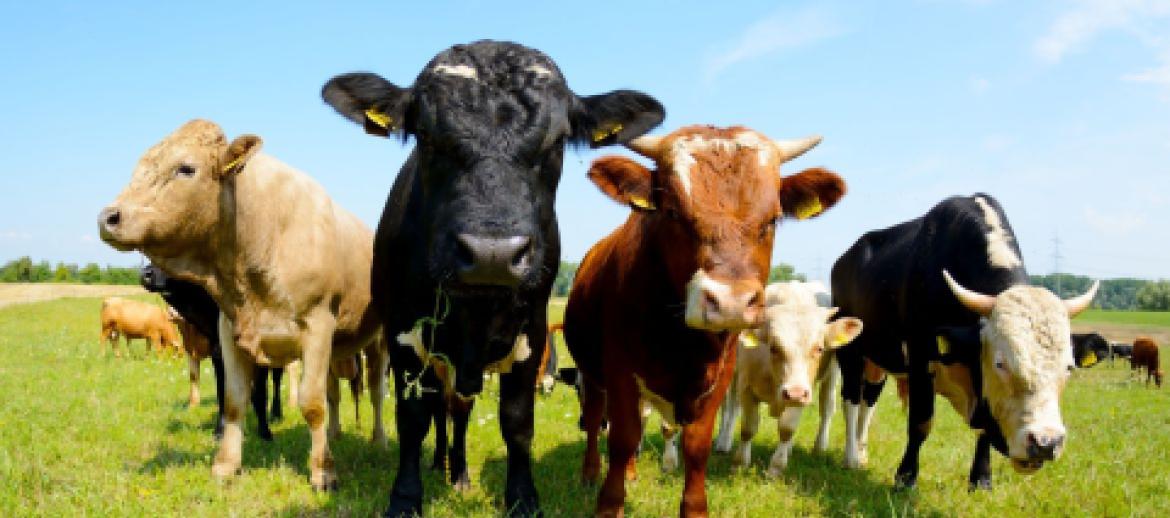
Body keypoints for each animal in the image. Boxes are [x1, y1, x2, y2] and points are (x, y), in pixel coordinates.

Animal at [142, 264, 284, 439]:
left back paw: (276, 413)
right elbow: (222, 393)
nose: (145, 274)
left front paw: (265, 432)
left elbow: (261, 394)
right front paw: (220, 430)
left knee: (276, 381)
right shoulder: (218, 355)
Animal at [320, 40, 664, 516]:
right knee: (442, 410)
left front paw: (522, 498)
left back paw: (458, 472)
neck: (475, 311)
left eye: (557, 141)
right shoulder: (404, 335)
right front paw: (405, 498)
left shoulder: (532, 334)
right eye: (426, 137)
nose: (492, 254)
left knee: (459, 410)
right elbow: (413, 419)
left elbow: (517, 422)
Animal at [563, 125, 846, 517]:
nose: (730, 302)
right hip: (590, 372)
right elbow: (622, 437)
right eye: (671, 211)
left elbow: (697, 445)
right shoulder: (620, 370)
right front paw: (609, 504)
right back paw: (591, 472)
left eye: (773, 219)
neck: (680, 340)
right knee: (593, 420)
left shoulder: (720, 376)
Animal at [711, 281, 863, 477]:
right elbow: (748, 428)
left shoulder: (804, 391)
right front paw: (740, 464)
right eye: (774, 347)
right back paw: (724, 442)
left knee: (827, 407)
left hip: (832, 374)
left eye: (819, 349)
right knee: (730, 406)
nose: (794, 393)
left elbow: (787, 429)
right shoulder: (747, 386)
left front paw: (776, 468)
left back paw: (818, 447)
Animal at [831, 194, 1098, 491]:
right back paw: (851, 457)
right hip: (850, 352)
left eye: (1069, 367)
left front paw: (981, 479)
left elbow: (983, 431)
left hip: (878, 360)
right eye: (1000, 364)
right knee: (852, 400)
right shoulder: (921, 357)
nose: (1045, 443)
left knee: (869, 402)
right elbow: (921, 423)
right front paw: (905, 478)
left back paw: (861, 454)